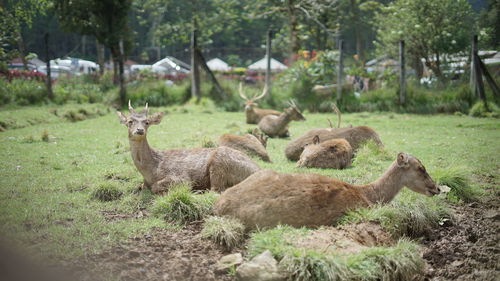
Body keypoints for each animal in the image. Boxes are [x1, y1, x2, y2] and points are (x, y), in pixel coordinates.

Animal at [115, 101, 260, 194]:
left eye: (147, 122)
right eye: (129, 121)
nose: (139, 130)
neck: (151, 171)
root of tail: (257, 170)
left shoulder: (182, 178)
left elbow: (156, 187)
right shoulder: (144, 183)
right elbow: (141, 187)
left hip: (219, 163)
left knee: (216, 190)